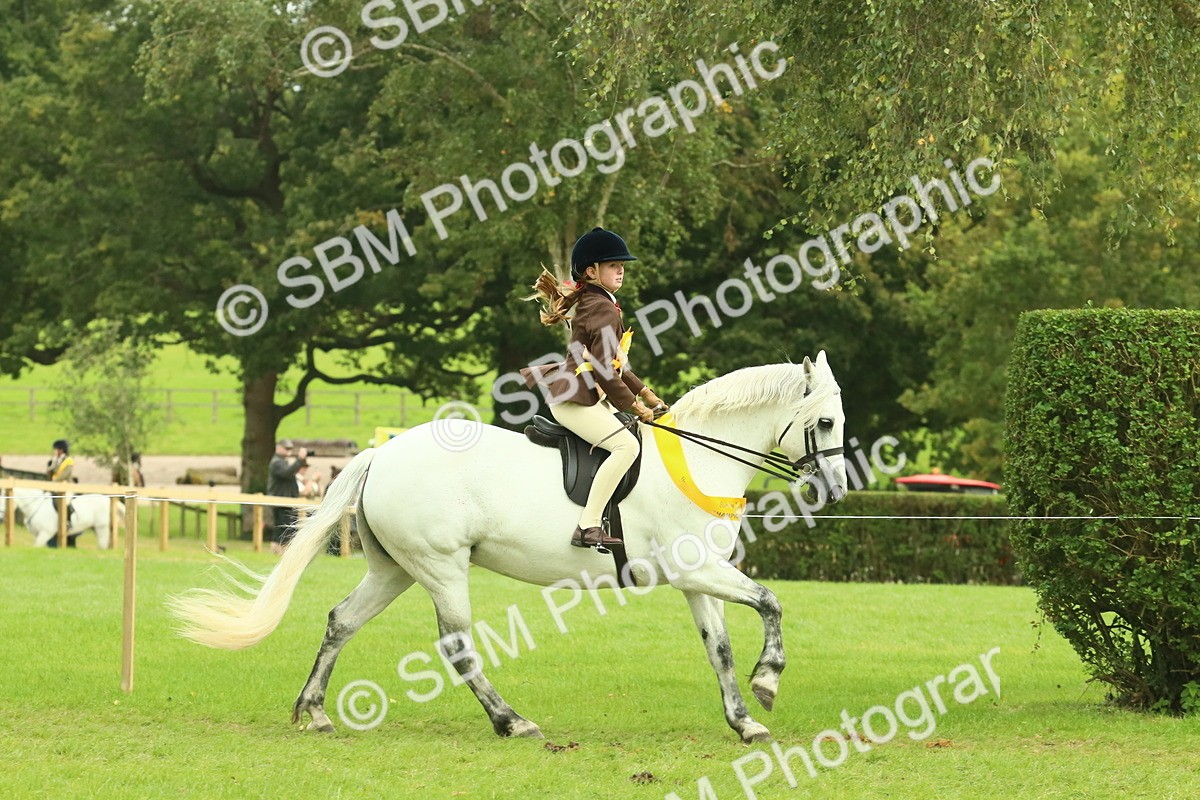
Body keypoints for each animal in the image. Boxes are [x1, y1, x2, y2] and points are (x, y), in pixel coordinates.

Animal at [171, 352, 848, 743]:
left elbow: (721, 649)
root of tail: (380, 454)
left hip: (395, 570)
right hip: (442, 567)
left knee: (341, 620)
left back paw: (313, 711)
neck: (700, 460)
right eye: (827, 422)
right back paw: (510, 720)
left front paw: (745, 720)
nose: (838, 488)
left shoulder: (696, 577)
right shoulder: (701, 570)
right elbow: (771, 602)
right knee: (457, 644)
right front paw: (769, 682)